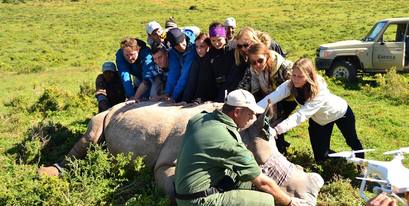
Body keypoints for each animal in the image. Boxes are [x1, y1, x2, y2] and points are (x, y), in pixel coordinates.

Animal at [39, 101, 324, 204]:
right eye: (265, 170)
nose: (311, 198)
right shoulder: (166, 164)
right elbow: (173, 189)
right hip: (107, 113)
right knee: (91, 134)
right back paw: (47, 174)